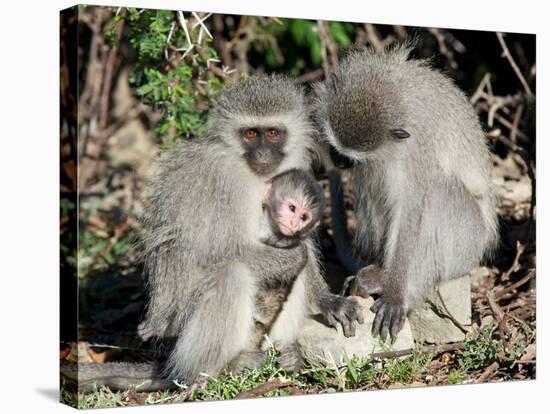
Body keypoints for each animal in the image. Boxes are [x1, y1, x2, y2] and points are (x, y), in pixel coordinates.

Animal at [314, 44, 500, 342]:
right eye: (335, 147)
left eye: (347, 155)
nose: (337, 161)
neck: (397, 89)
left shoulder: (418, 149)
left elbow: (410, 211)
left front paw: (395, 295)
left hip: (468, 244)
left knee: (438, 193)